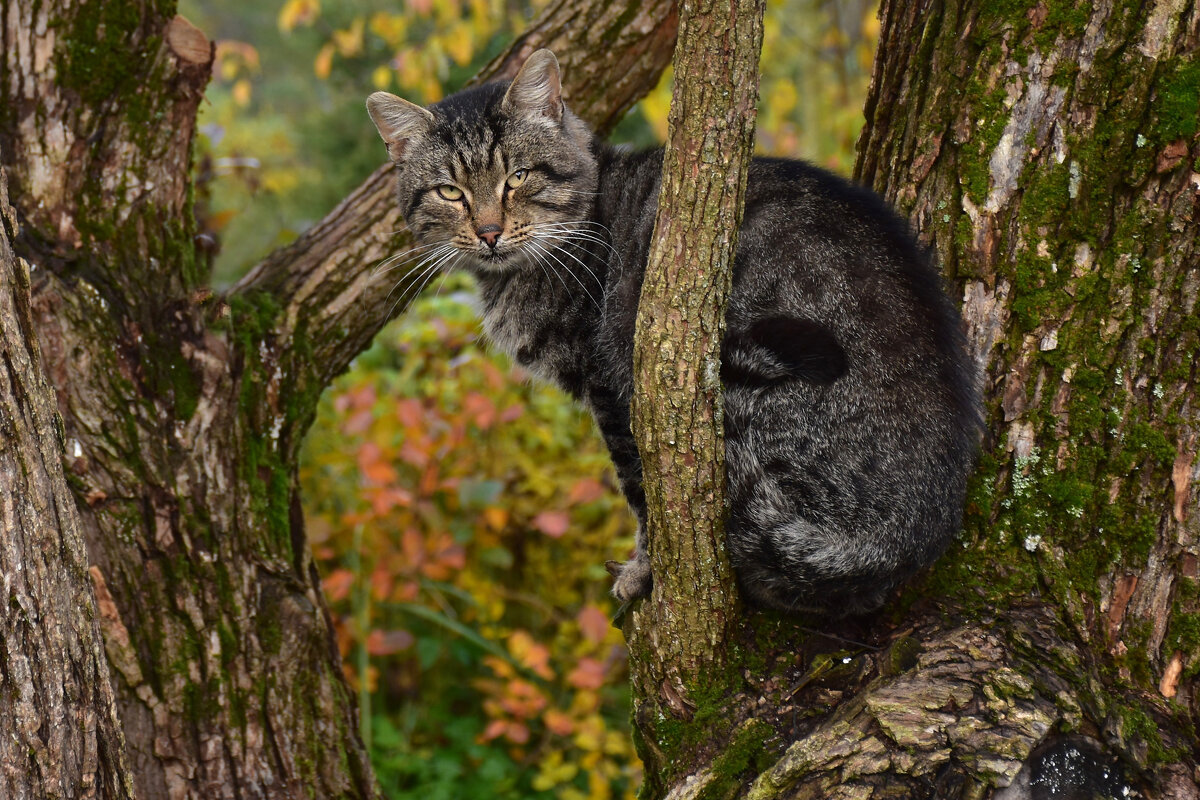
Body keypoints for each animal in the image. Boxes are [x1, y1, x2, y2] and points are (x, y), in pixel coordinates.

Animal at [367, 48, 984, 614]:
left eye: (517, 177)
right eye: (451, 192)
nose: (490, 232)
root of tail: (913, 533)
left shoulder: (613, 390)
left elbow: (640, 494)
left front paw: (642, 573)